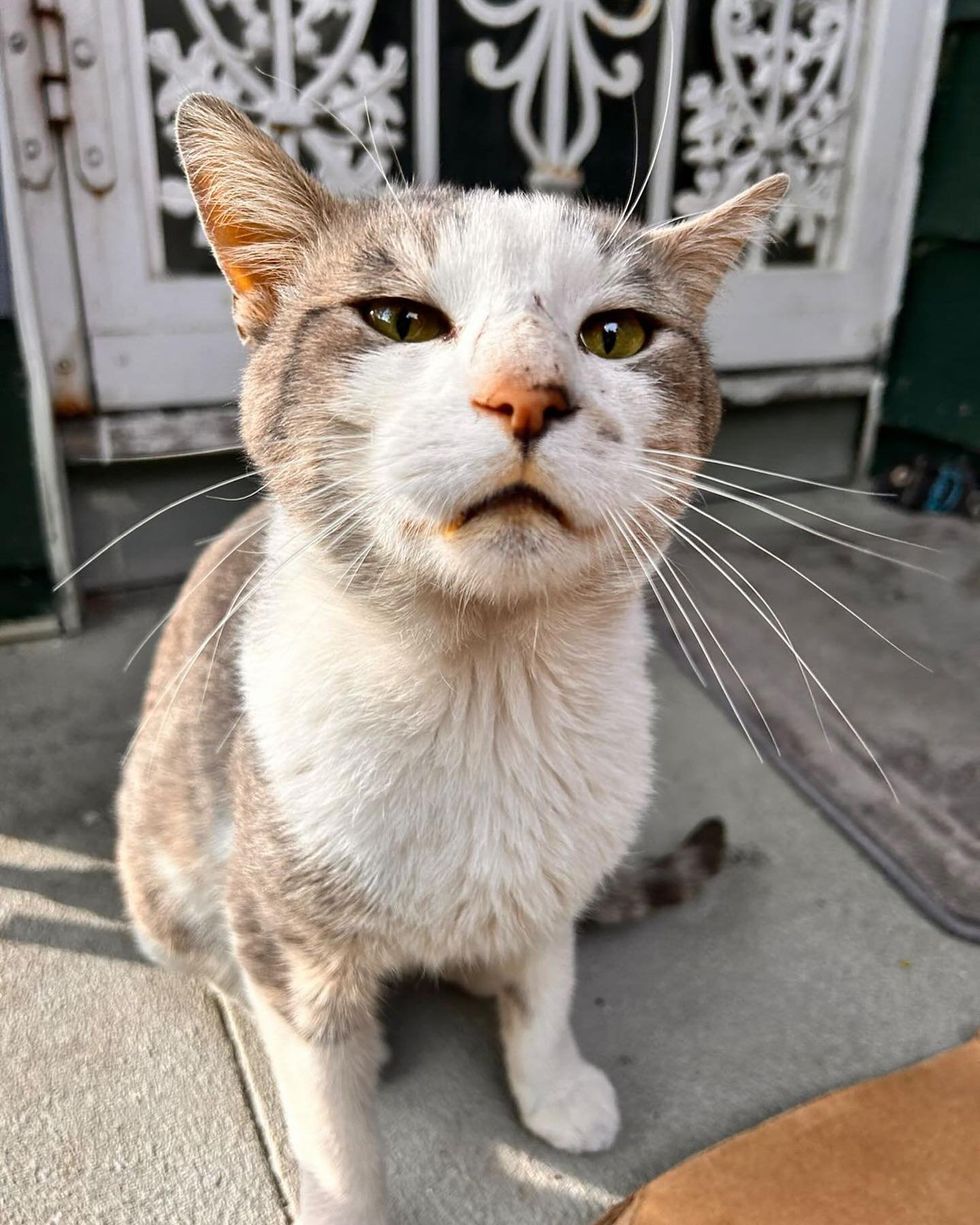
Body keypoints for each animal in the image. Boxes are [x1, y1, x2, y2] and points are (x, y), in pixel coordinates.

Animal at [116, 93, 788, 1225]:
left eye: (615, 333)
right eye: (398, 320)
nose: (528, 394)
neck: (483, 689)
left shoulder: (557, 866)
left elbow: (547, 981)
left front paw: (553, 1085)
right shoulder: (286, 926)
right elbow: (329, 1114)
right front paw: (345, 1189)